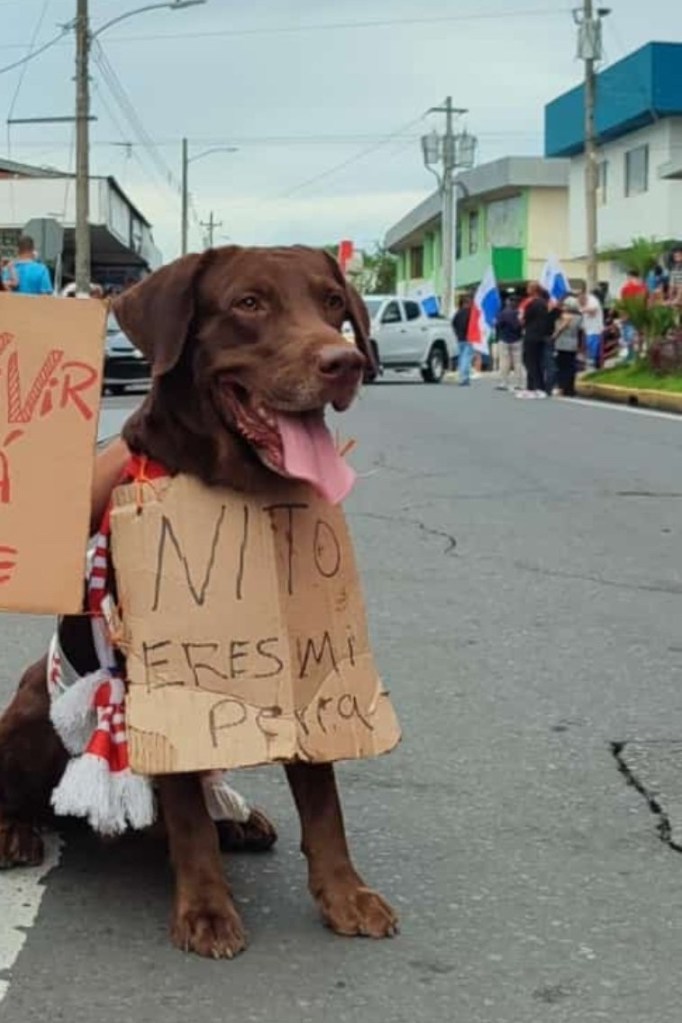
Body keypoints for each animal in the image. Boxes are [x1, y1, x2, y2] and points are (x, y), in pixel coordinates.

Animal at [0, 245, 398, 958]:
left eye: (332, 302)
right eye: (249, 303)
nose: (344, 362)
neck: (245, 489)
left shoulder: (304, 663)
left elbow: (323, 799)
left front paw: (344, 895)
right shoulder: (158, 680)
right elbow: (183, 808)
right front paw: (207, 910)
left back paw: (235, 820)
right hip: (32, 711)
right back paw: (15, 831)